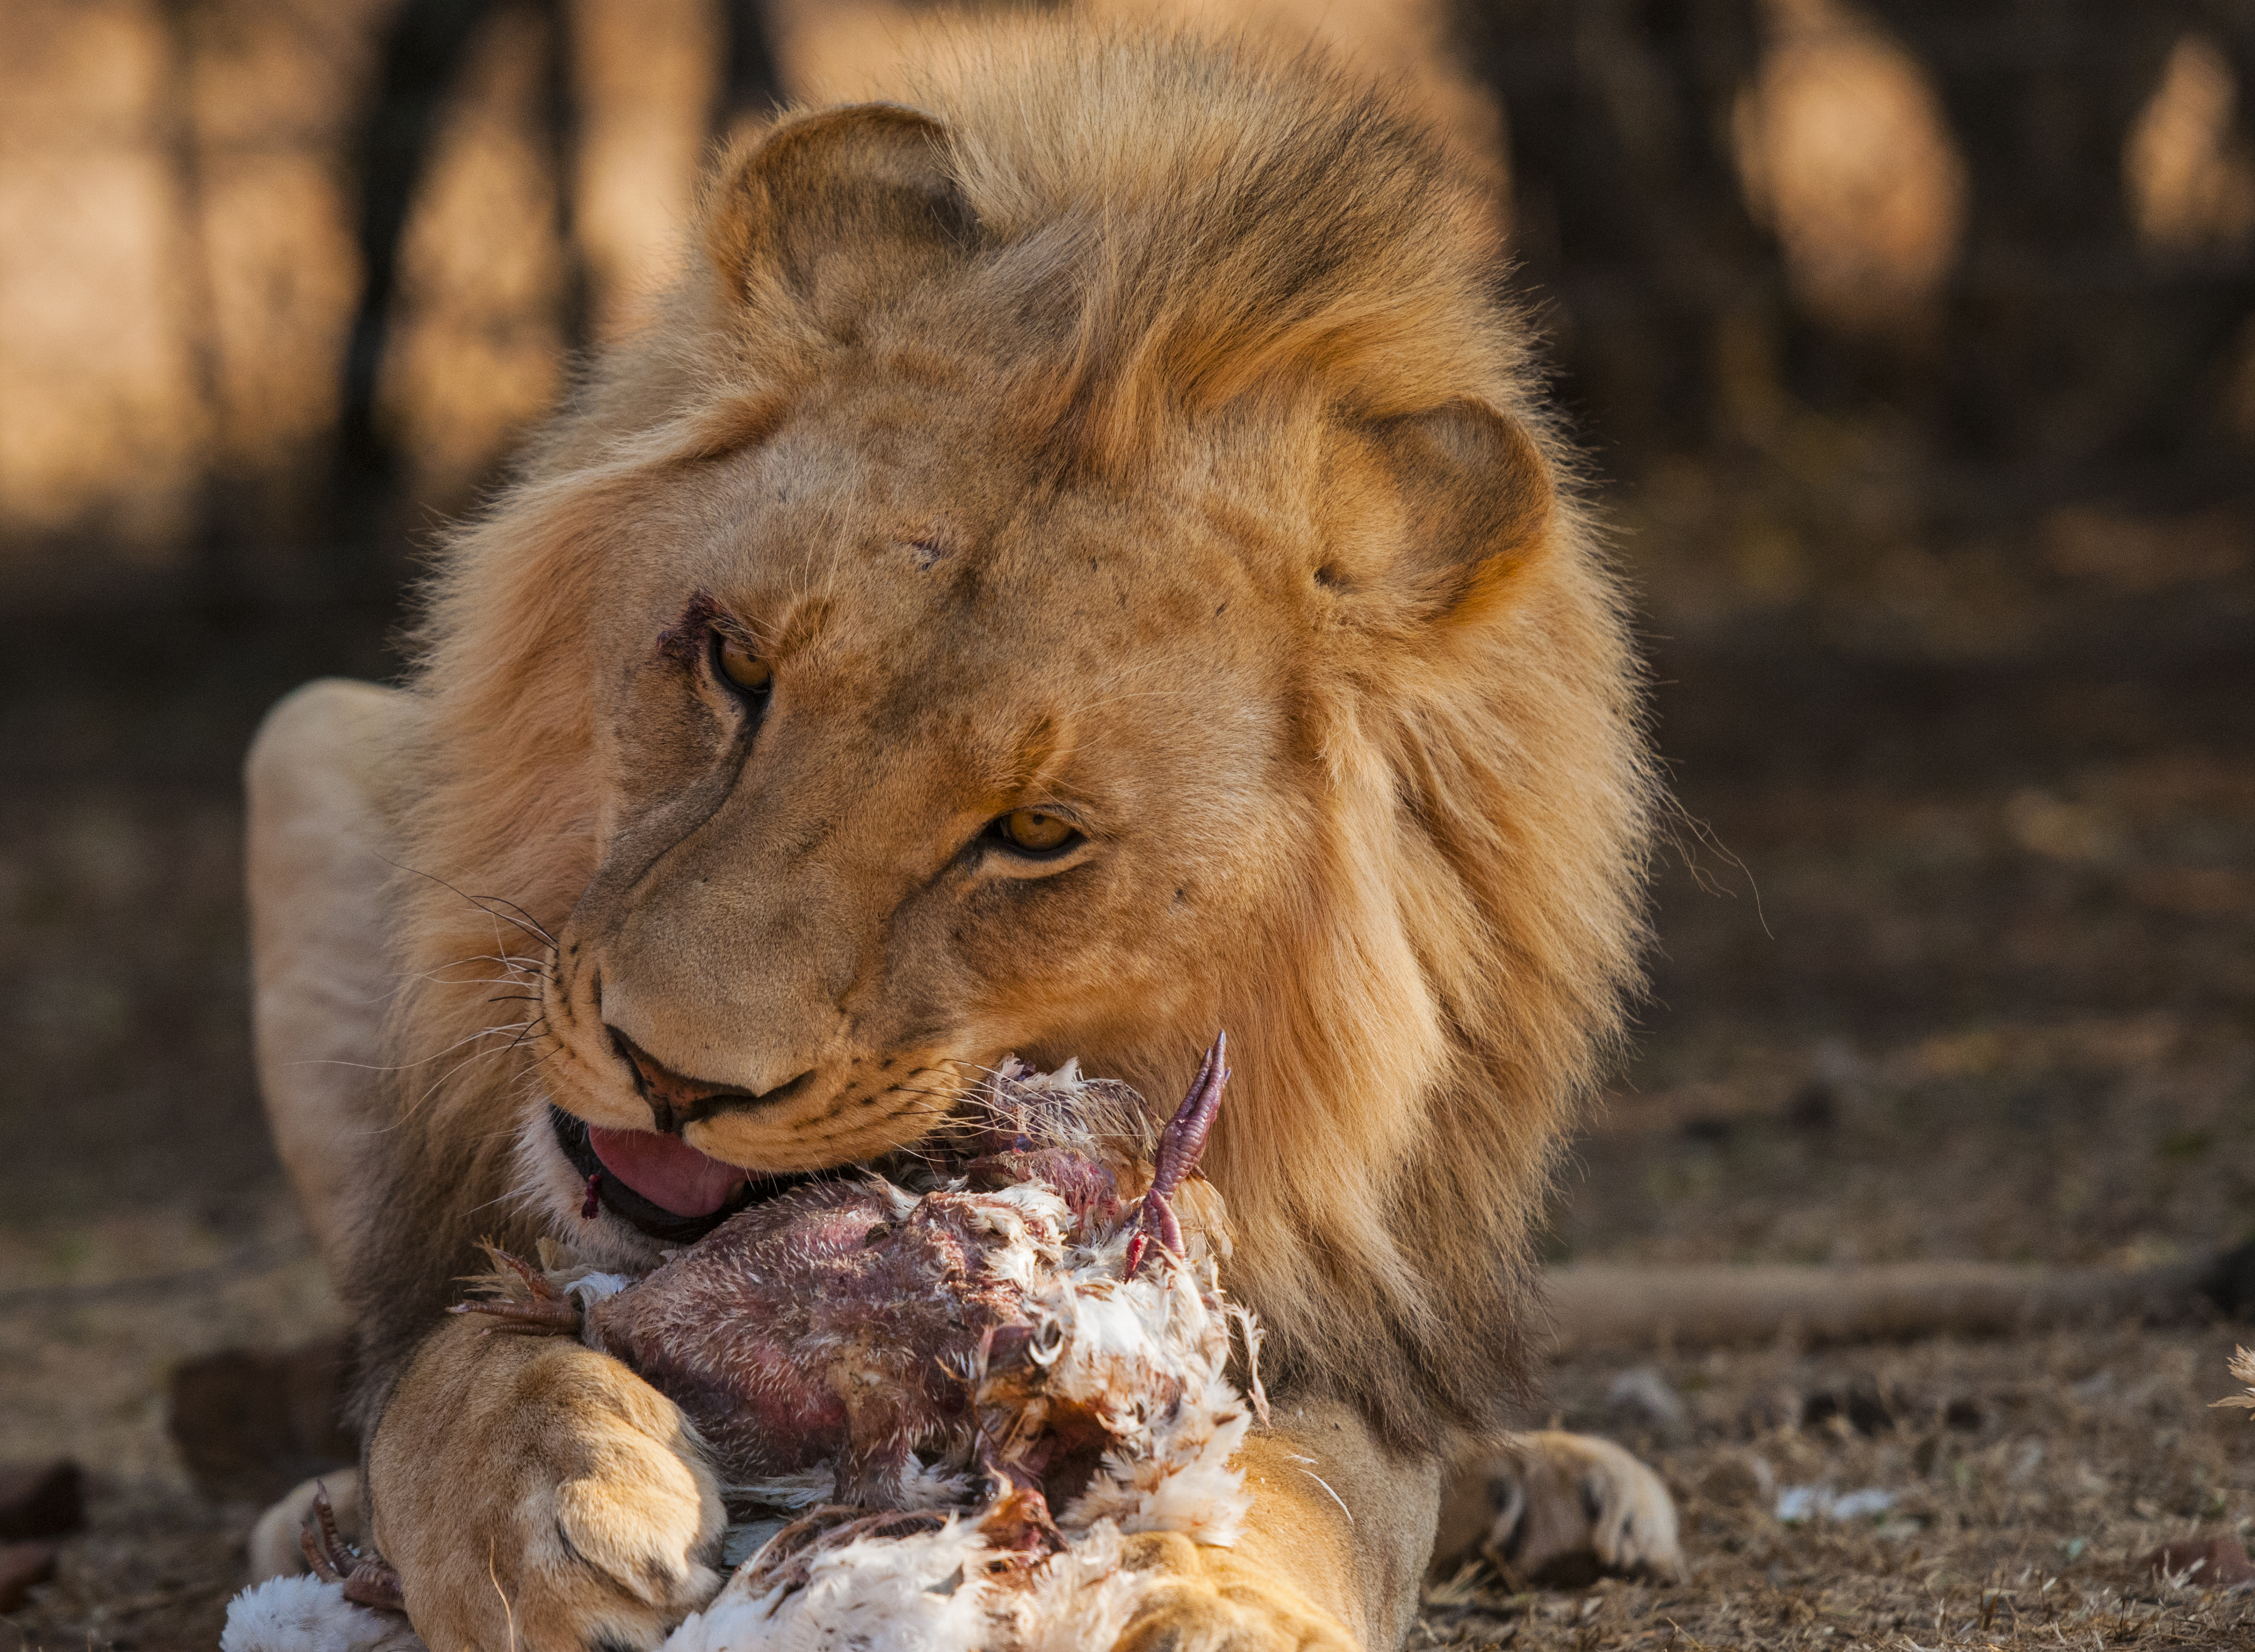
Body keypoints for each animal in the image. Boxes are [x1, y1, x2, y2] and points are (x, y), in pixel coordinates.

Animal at [246, 29, 1687, 1650]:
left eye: (1035, 831)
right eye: (734, 661)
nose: (674, 1078)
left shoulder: (1313, 1312)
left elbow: (1307, 1477)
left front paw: (1196, 1592)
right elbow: (448, 1369)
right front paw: (555, 1500)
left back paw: (1557, 1479)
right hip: (302, 735)